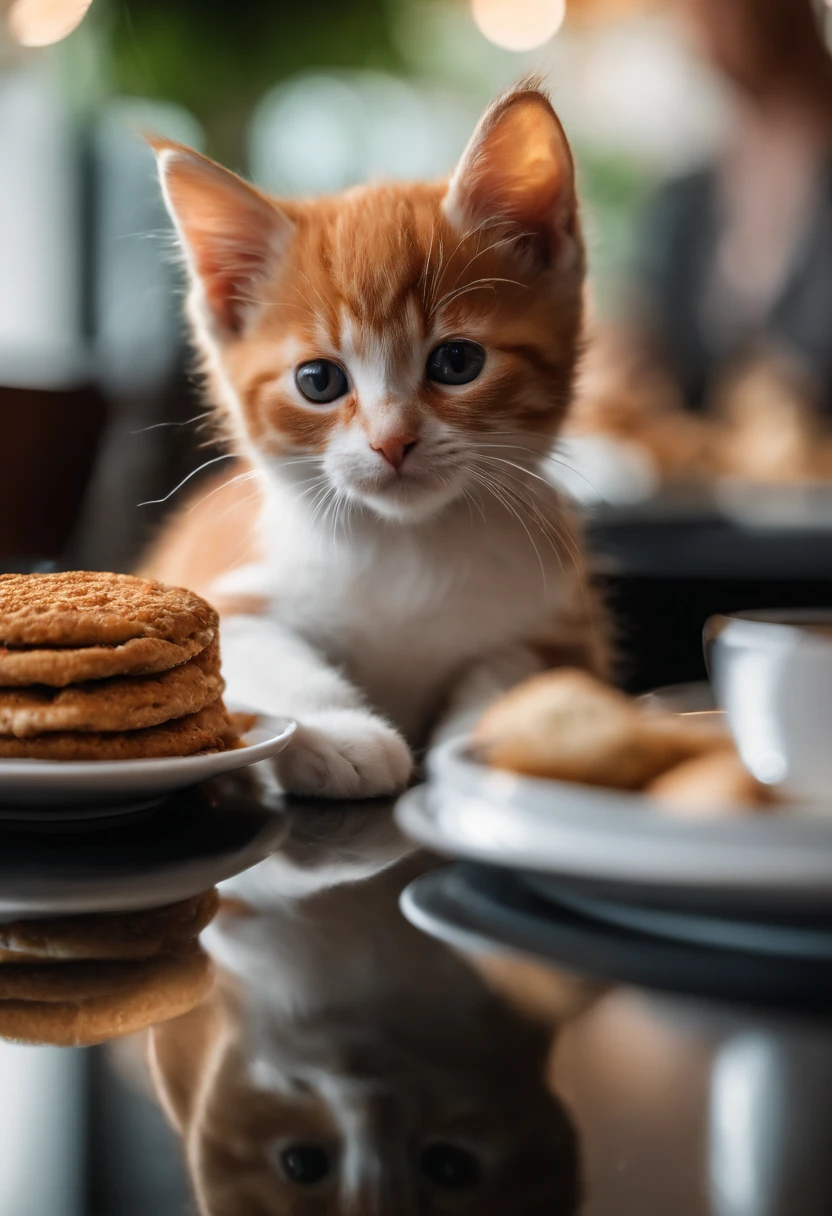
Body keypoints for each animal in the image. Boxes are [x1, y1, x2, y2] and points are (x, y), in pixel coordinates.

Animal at [145, 83, 608, 797]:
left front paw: (477, 741)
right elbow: (254, 650)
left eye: (457, 363)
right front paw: (340, 732)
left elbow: (516, 668)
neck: (407, 544)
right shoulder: (229, 593)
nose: (393, 442)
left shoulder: (568, 629)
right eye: (318, 381)